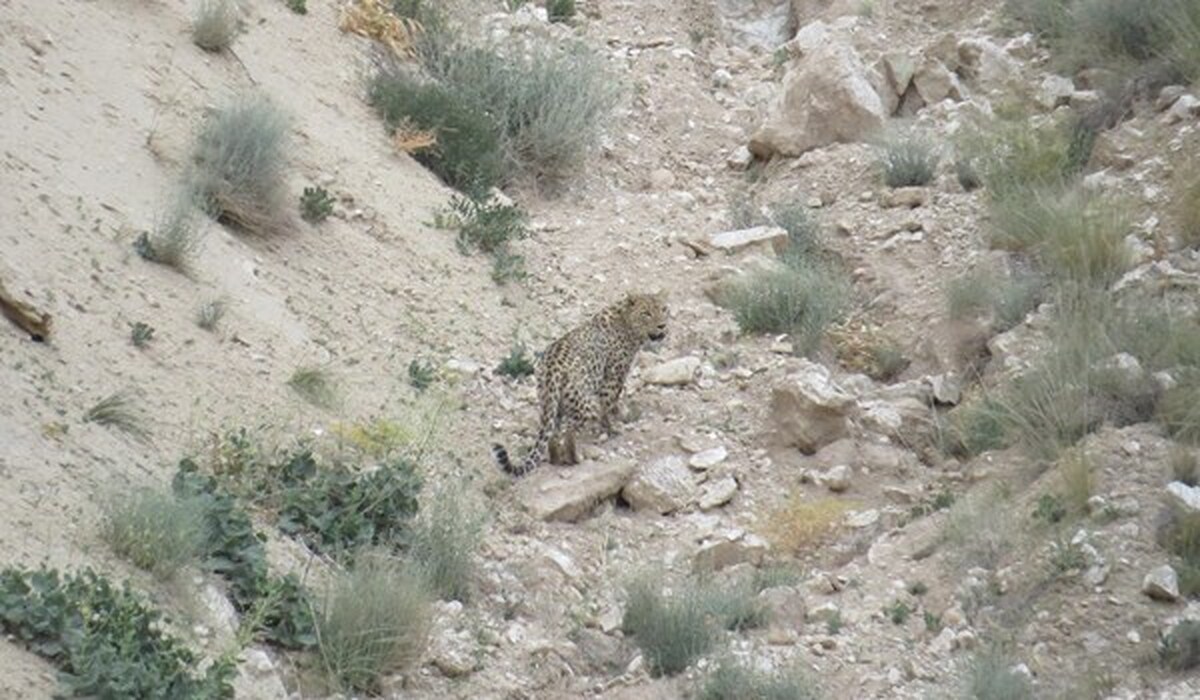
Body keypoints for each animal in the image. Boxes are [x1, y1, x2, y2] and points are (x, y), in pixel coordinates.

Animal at [492, 290, 672, 475]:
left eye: (664, 309)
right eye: (646, 313)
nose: (662, 326)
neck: (627, 325)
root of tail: (550, 368)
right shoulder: (613, 378)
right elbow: (609, 405)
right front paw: (614, 425)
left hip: (551, 404)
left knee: (553, 433)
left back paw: (556, 459)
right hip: (583, 403)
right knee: (569, 432)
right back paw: (574, 459)